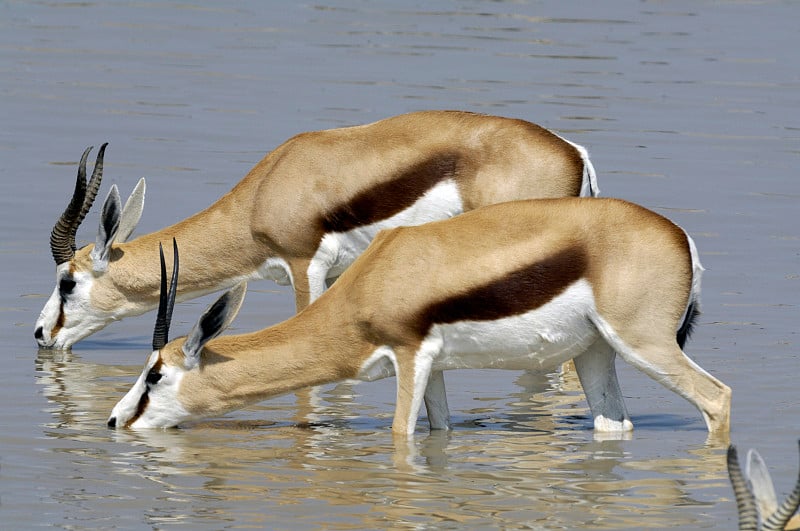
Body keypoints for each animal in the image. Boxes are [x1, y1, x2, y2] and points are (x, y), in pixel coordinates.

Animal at [108, 197, 732, 438]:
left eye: (155, 374)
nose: (114, 421)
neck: (370, 285)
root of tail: (679, 237)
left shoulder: (411, 357)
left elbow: (398, 435)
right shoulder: (436, 372)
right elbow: (440, 435)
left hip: (645, 345)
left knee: (717, 399)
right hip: (596, 354)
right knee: (613, 427)